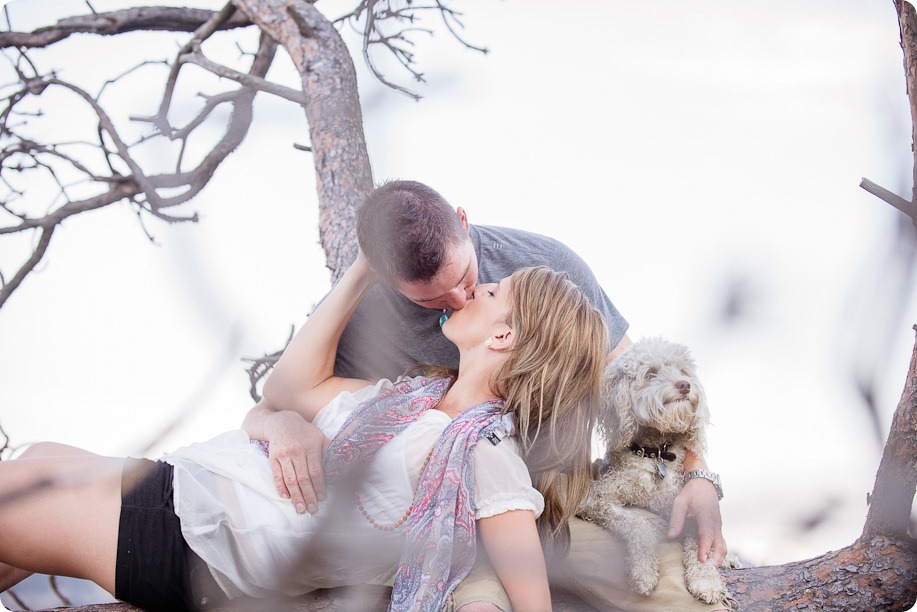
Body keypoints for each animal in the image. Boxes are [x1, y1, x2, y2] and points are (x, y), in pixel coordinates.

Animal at [580, 338, 728, 604]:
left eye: (683, 371)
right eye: (650, 373)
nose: (684, 385)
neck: (655, 452)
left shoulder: (687, 506)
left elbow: (701, 546)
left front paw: (706, 580)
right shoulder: (597, 499)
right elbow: (639, 525)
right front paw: (643, 571)